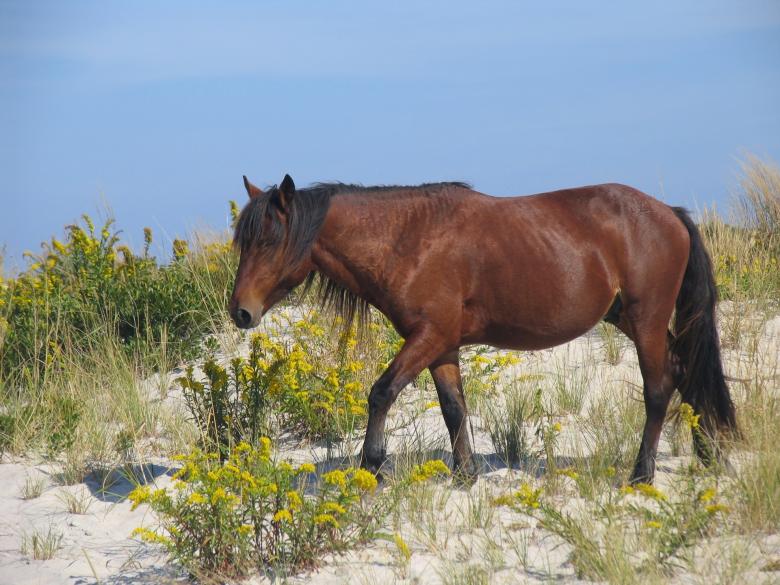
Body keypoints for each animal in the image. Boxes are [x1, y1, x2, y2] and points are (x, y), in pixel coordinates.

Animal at [229, 173, 737, 485]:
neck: (409, 239)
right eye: (242, 242)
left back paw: (641, 474)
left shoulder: (428, 337)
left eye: (269, 240)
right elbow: (454, 408)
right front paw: (465, 475)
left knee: (659, 388)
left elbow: (381, 393)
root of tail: (669, 213)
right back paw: (708, 456)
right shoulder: (442, 346)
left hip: (646, 319)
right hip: (631, 320)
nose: (241, 312)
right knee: (684, 371)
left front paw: (370, 466)